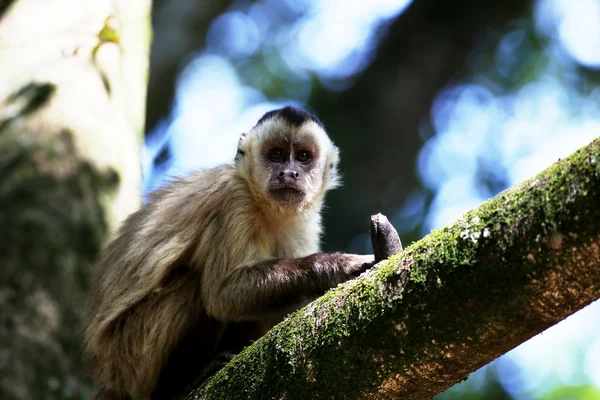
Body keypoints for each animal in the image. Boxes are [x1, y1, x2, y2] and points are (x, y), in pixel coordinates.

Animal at [85, 106, 404, 400]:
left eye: (303, 157)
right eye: (276, 154)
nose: (290, 172)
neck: (265, 207)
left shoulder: (304, 221)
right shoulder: (233, 196)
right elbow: (221, 295)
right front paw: (338, 265)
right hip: (130, 356)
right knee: (193, 287)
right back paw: (180, 383)